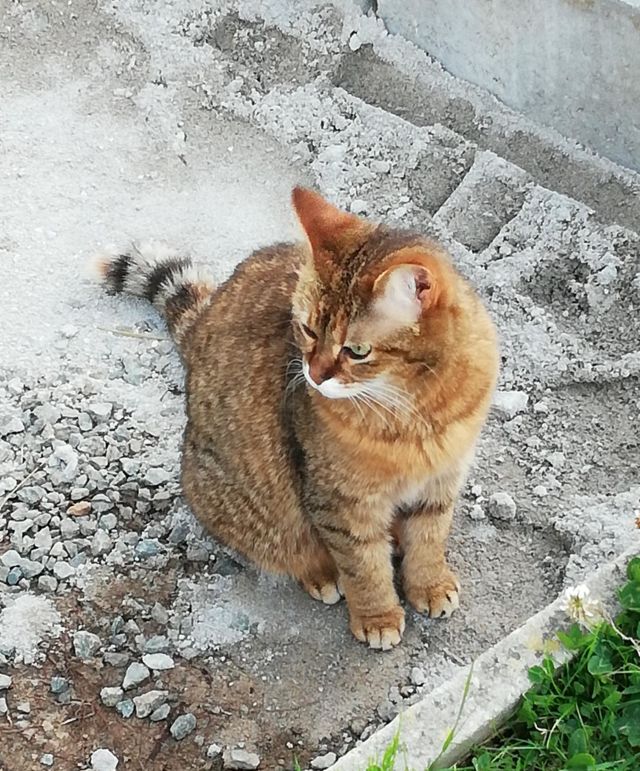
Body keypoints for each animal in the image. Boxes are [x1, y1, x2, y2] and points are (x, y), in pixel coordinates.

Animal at [97, 188, 499, 650]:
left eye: (356, 351)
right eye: (307, 330)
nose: (314, 375)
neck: (417, 405)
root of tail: (200, 329)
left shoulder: (442, 480)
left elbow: (429, 539)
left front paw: (429, 584)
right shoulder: (339, 503)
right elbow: (364, 565)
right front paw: (377, 615)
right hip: (259, 506)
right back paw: (320, 573)